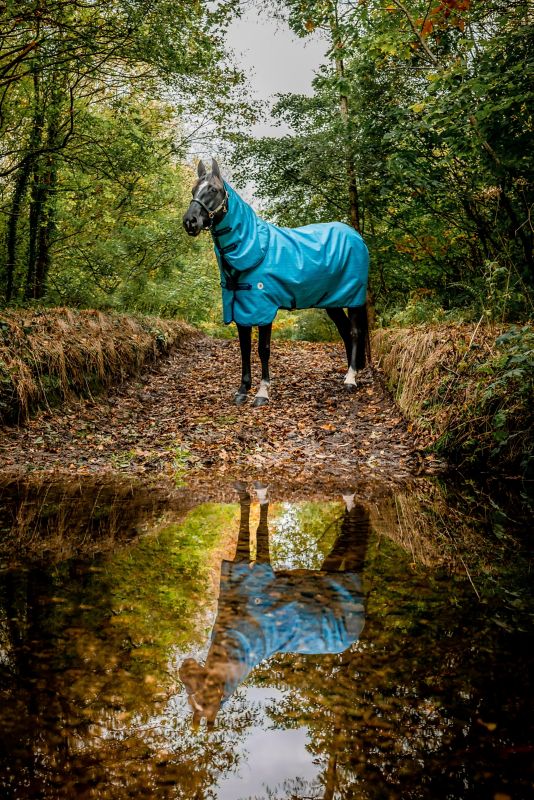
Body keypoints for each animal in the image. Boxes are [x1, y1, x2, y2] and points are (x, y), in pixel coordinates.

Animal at [182, 158, 370, 406]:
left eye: (213, 190)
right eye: (194, 189)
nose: (190, 221)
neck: (252, 247)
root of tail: (355, 236)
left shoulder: (264, 307)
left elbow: (263, 349)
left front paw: (262, 392)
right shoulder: (241, 308)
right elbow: (244, 348)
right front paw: (242, 390)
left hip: (354, 298)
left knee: (355, 332)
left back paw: (351, 379)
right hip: (333, 302)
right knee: (345, 331)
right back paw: (350, 373)